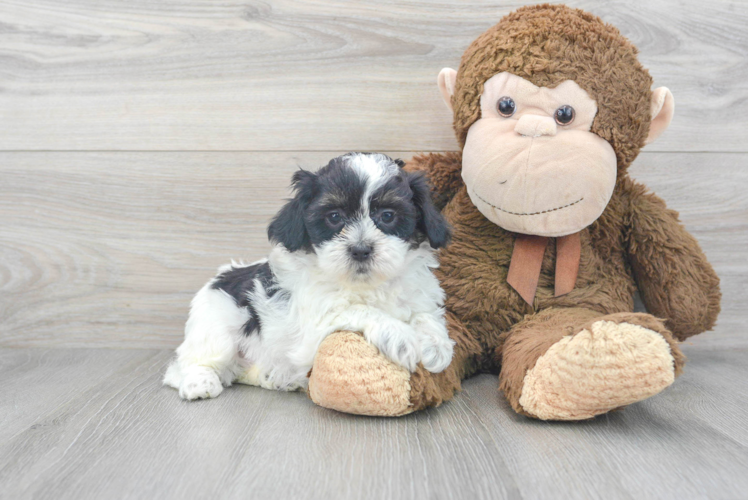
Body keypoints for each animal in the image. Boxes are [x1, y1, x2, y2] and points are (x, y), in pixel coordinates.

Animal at [164, 154, 452, 400]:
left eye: (388, 216)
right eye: (334, 217)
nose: (360, 249)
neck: (365, 284)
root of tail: (219, 277)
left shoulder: (418, 294)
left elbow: (425, 313)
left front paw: (437, 346)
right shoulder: (315, 321)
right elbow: (359, 309)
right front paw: (401, 337)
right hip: (215, 328)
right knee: (185, 365)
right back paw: (199, 383)